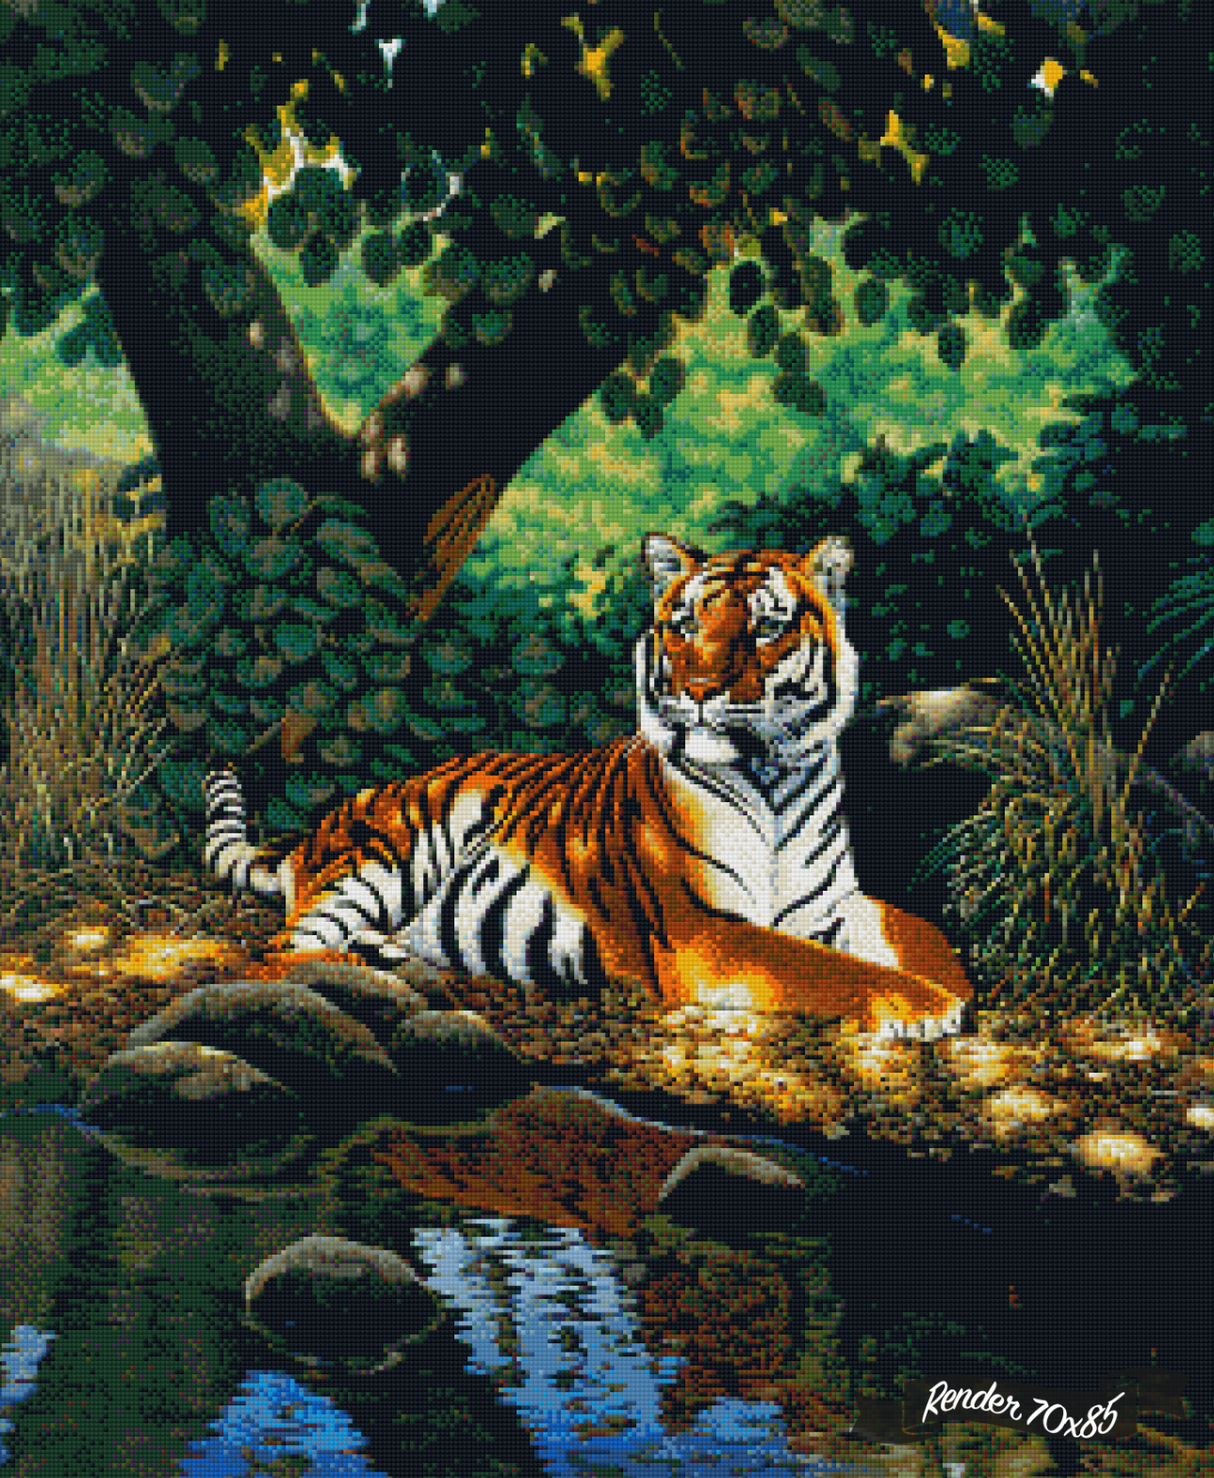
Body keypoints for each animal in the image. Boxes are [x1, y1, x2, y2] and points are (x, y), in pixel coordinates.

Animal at [203, 534, 972, 1039]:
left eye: (764, 629)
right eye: (684, 625)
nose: (697, 690)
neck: (774, 773)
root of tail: (315, 831)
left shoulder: (832, 902)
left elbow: (916, 928)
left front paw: (956, 985)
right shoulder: (706, 930)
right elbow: (829, 970)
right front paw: (926, 1006)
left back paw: (392, 954)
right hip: (389, 852)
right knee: (278, 953)